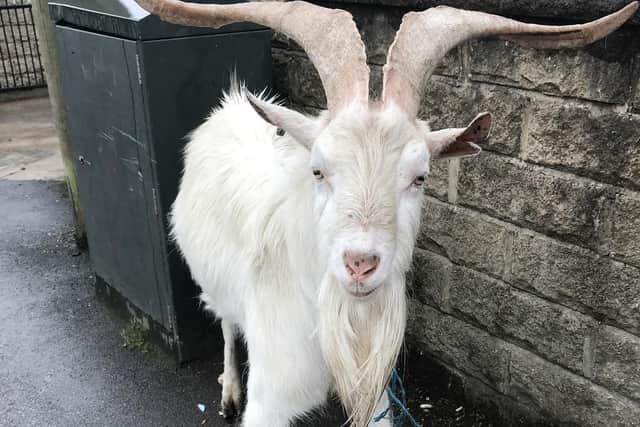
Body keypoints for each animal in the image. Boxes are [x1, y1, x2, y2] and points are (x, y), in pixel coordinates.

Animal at [135, 1, 638, 426]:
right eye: (318, 170)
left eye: (420, 177)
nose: (360, 264)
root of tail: (233, 105)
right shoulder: (273, 397)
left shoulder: (375, 389)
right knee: (225, 322)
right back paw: (227, 392)